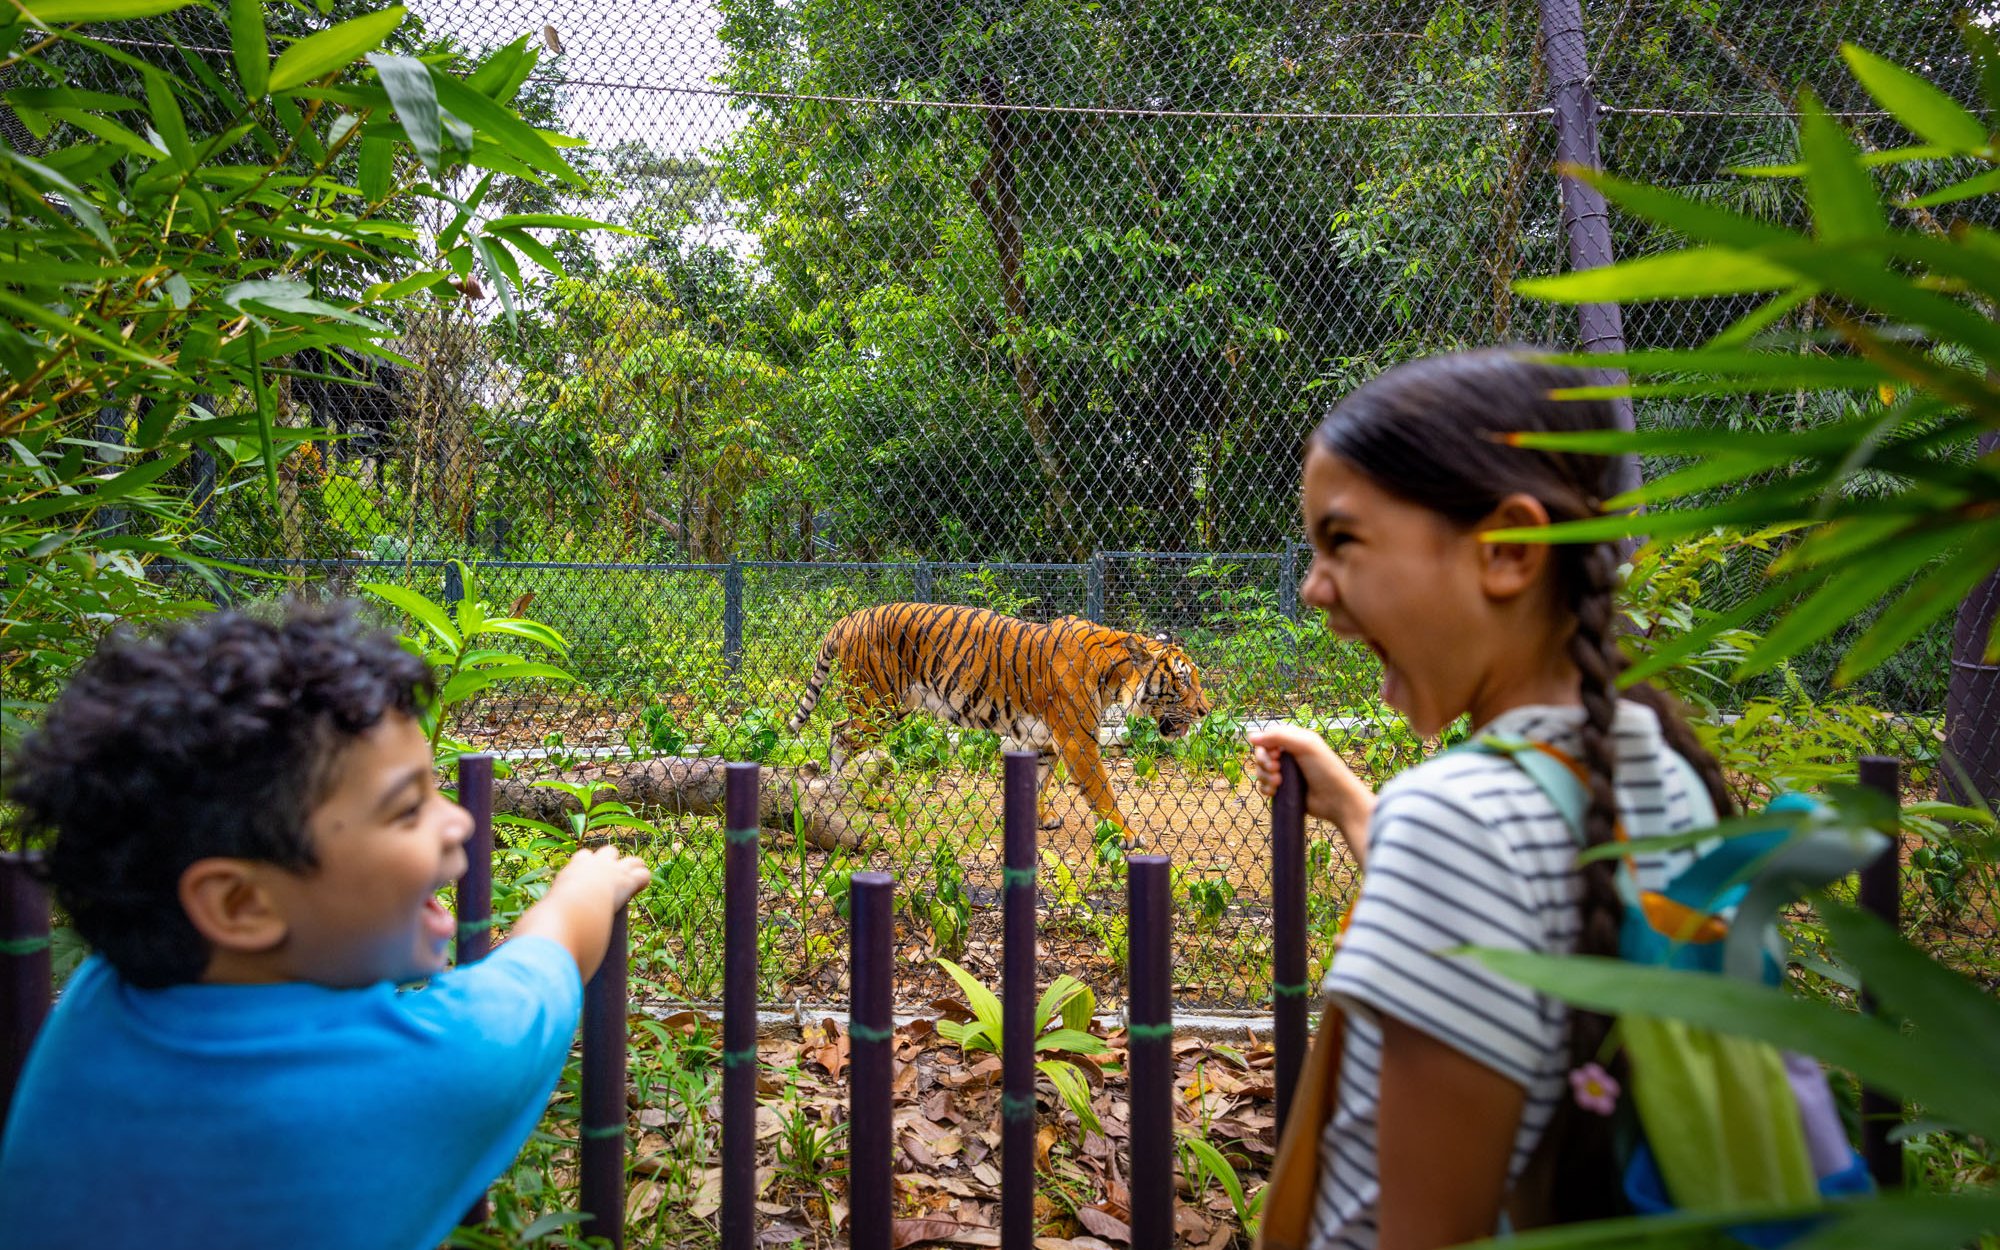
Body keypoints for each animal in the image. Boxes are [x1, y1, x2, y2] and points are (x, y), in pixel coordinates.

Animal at [786, 603, 1211, 844]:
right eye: (1183, 680)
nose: (1206, 710)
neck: (1115, 678)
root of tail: (847, 619)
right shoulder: (1077, 741)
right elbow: (1103, 792)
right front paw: (1127, 835)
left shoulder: (1042, 740)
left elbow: (1039, 784)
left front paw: (1039, 818)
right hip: (878, 704)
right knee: (840, 736)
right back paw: (843, 794)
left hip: (888, 705)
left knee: (838, 730)